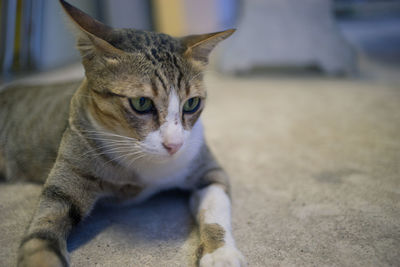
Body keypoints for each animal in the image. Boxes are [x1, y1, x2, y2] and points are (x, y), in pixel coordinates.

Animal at [0, 1, 245, 266]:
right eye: (141, 103)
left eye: (191, 103)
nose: (175, 145)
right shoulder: (71, 167)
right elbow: (45, 224)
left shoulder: (207, 169)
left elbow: (215, 209)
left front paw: (221, 253)